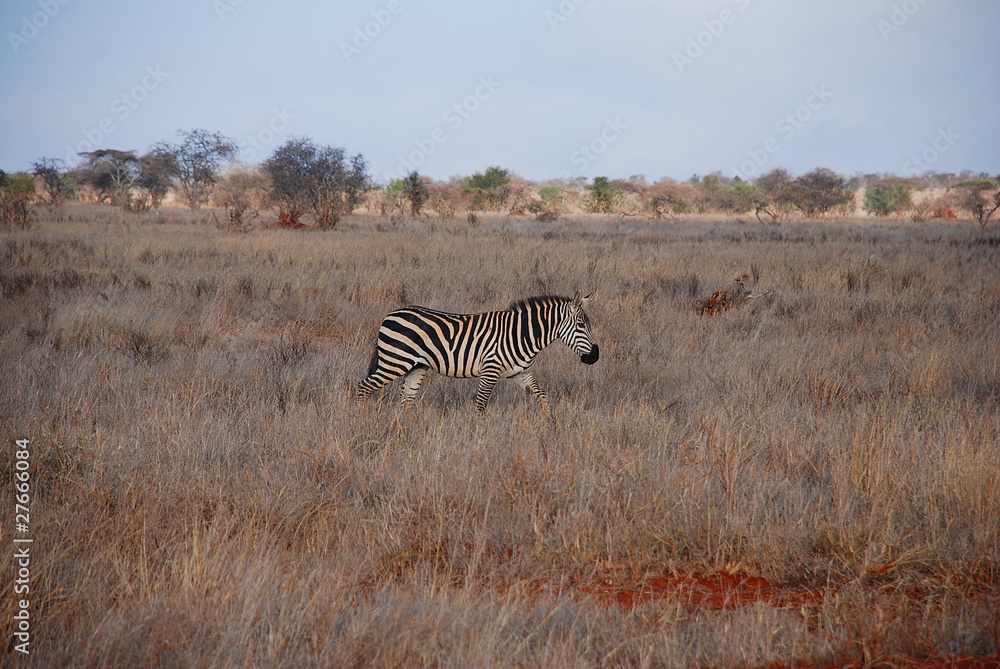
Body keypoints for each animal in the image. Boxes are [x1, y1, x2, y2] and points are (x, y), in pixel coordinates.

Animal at [356, 291, 599, 413]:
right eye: (580, 325)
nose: (595, 356)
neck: (522, 334)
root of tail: (391, 314)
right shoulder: (490, 369)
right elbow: (481, 404)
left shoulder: (519, 373)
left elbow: (543, 397)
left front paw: (550, 427)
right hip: (395, 361)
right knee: (363, 387)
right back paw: (359, 420)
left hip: (416, 366)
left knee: (405, 399)